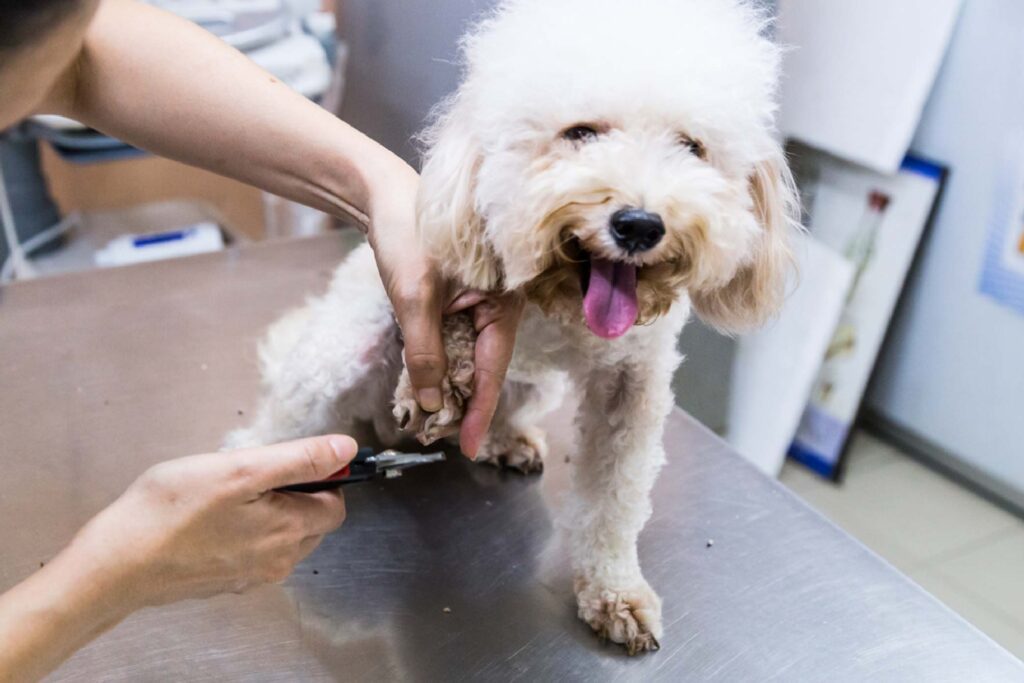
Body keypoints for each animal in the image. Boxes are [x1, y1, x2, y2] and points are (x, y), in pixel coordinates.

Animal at [230, 0, 798, 655]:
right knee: (277, 423)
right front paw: (444, 382)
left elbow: (617, 496)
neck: (562, 304)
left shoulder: (634, 383)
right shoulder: (452, 277)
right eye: (581, 133)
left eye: (691, 147)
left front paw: (615, 592)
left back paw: (506, 441)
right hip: (335, 358)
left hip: (533, 387)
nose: (639, 224)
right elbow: (449, 325)